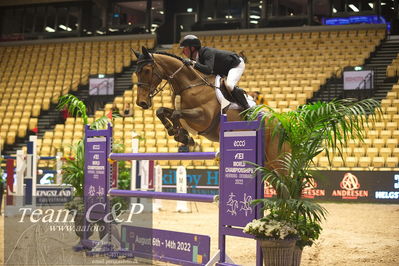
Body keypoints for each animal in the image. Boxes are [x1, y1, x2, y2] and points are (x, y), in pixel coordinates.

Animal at [132, 45, 288, 166]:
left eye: (147, 70)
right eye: (136, 72)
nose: (141, 102)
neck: (189, 85)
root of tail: (280, 122)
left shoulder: (203, 117)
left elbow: (176, 114)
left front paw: (182, 136)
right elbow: (161, 111)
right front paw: (179, 133)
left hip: (275, 158)